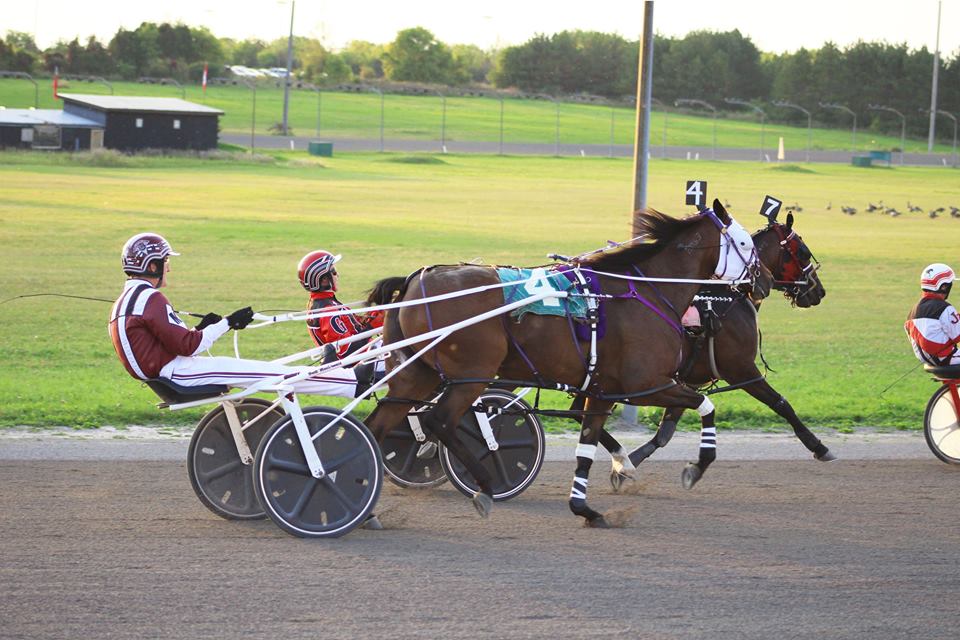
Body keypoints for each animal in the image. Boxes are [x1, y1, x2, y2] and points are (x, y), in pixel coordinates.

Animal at [364, 204, 768, 524]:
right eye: (745, 243)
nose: (762, 281)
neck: (645, 293)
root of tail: (418, 280)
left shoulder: (603, 392)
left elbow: (586, 448)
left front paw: (585, 507)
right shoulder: (648, 385)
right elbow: (706, 406)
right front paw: (695, 468)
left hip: (418, 373)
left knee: (378, 424)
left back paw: (367, 507)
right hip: (470, 375)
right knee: (438, 420)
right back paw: (484, 486)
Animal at [604, 211, 828, 490]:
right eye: (804, 252)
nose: (818, 290)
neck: (727, 299)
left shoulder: (686, 381)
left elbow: (665, 433)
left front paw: (626, 465)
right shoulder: (741, 370)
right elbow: (781, 403)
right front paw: (818, 446)